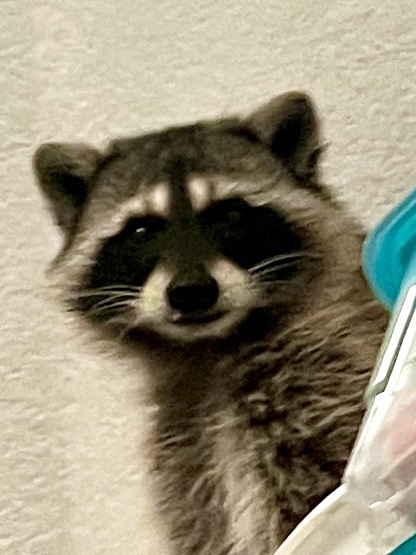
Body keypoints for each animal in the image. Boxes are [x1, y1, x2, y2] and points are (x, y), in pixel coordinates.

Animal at [33, 92, 387, 554]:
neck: (211, 349)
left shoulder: (331, 378)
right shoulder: (185, 455)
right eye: (141, 231)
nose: (192, 291)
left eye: (229, 216)